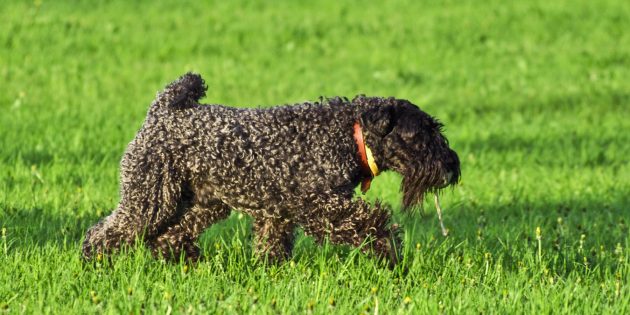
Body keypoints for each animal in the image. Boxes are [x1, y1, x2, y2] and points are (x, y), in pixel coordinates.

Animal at [81, 73, 462, 266]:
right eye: (419, 134)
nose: (451, 167)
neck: (346, 133)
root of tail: (161, 112)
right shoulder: (320, 205)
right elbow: (368, 221)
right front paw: (388, 249)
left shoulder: (277, 211)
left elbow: (272, 243)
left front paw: (272, 271)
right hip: (150, 197)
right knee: (110, 230)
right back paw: (94, 261)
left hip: (202, 202)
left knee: (169, 234)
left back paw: (184, 259)